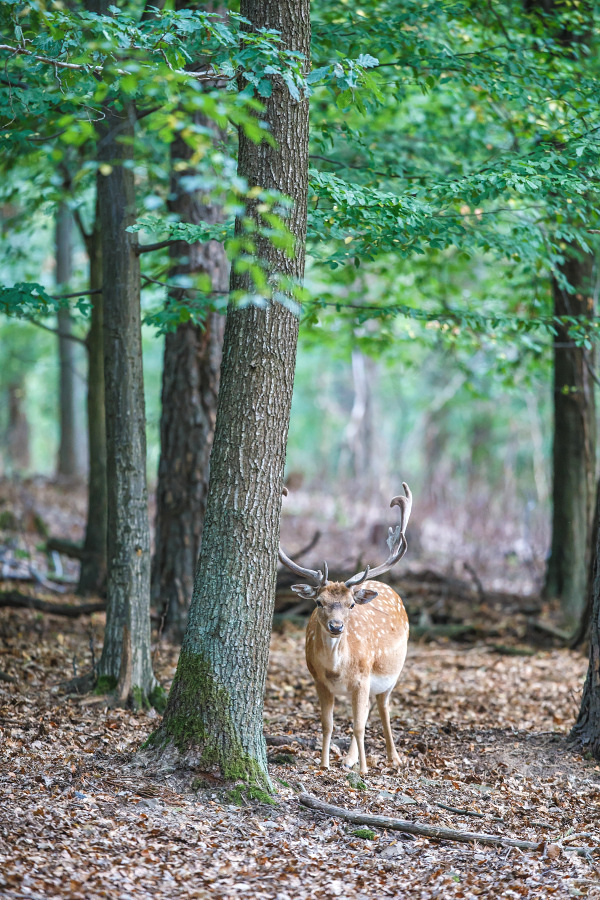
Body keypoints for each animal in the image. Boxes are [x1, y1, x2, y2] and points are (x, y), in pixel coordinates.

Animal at [278, 486, 410, 772]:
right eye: (319, 602)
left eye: (350, 605)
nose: (336, 626)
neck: (337, 669)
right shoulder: (319, 681)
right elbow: (327, 724)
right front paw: (325, 764)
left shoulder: (362, 678)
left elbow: (358, 726)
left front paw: (364, 769)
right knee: (370, 707)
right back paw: (349, 759)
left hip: (392, 670)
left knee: (383, 705)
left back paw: (393, 757)